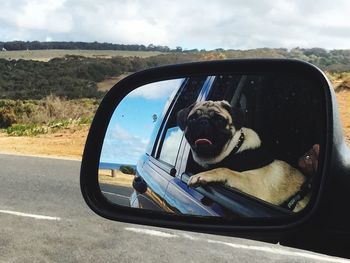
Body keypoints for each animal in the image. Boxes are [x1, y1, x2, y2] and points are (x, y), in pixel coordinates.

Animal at [178, 100, 308, 212]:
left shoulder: (256, 186)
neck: (234, 150)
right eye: (192, 118)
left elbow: (225, 169)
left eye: (219, 119)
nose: (203, 121)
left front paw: (202, 175)